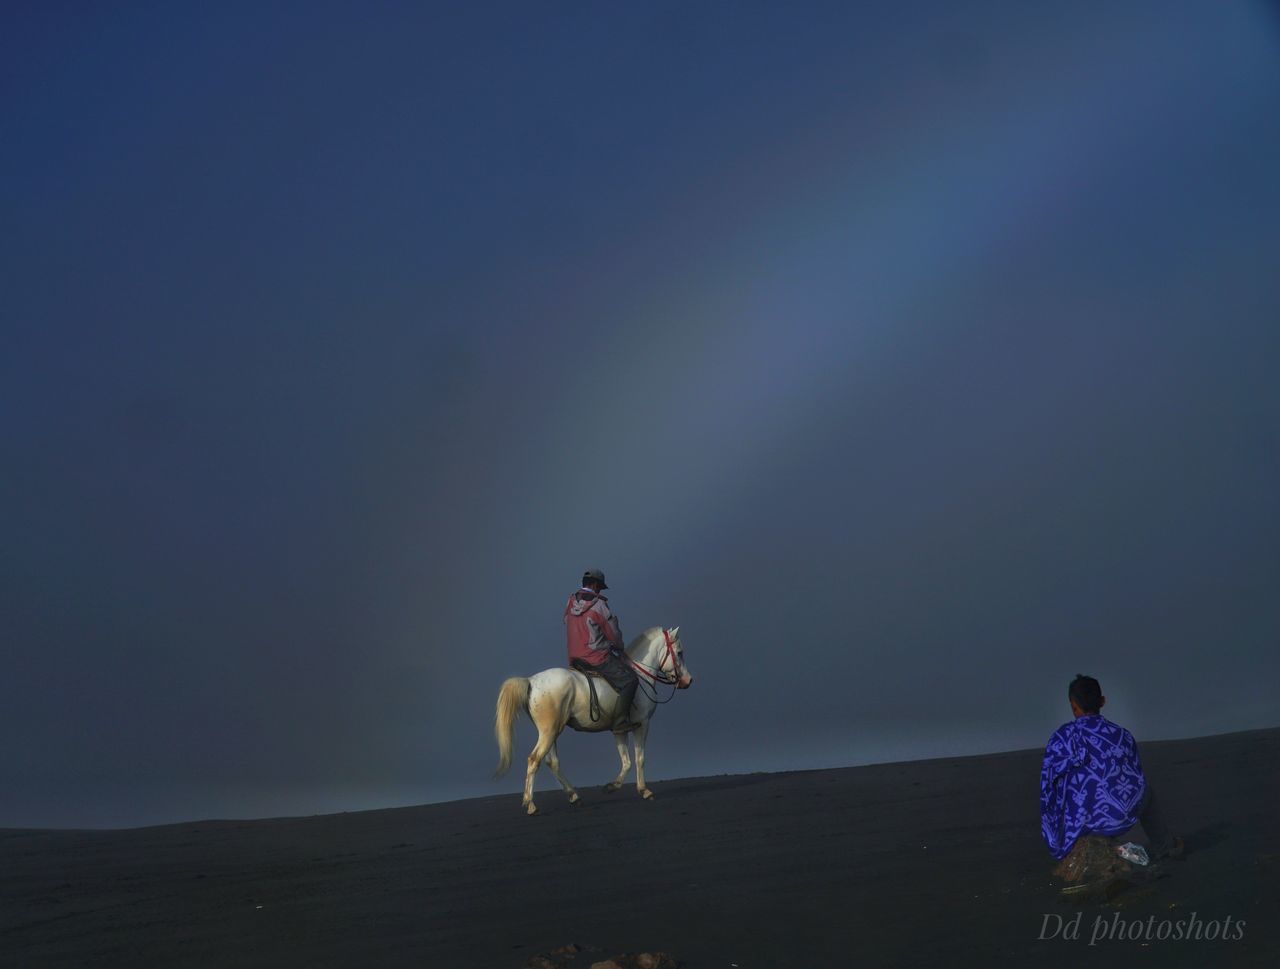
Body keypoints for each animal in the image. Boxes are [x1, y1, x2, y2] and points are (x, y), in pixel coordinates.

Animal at [491, 627, 691, 808]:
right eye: (679, 653)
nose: (688, 680)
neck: (640, 675)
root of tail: (531, 681)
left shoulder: (619, 730)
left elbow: (626, 761)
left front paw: (612, 786)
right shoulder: (643, 724)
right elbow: (639, 758)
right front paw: (644, 790)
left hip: (551, 732)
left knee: (552, 762)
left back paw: (573, 795)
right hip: (549, 732)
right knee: (534, 760)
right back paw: (530, 803)